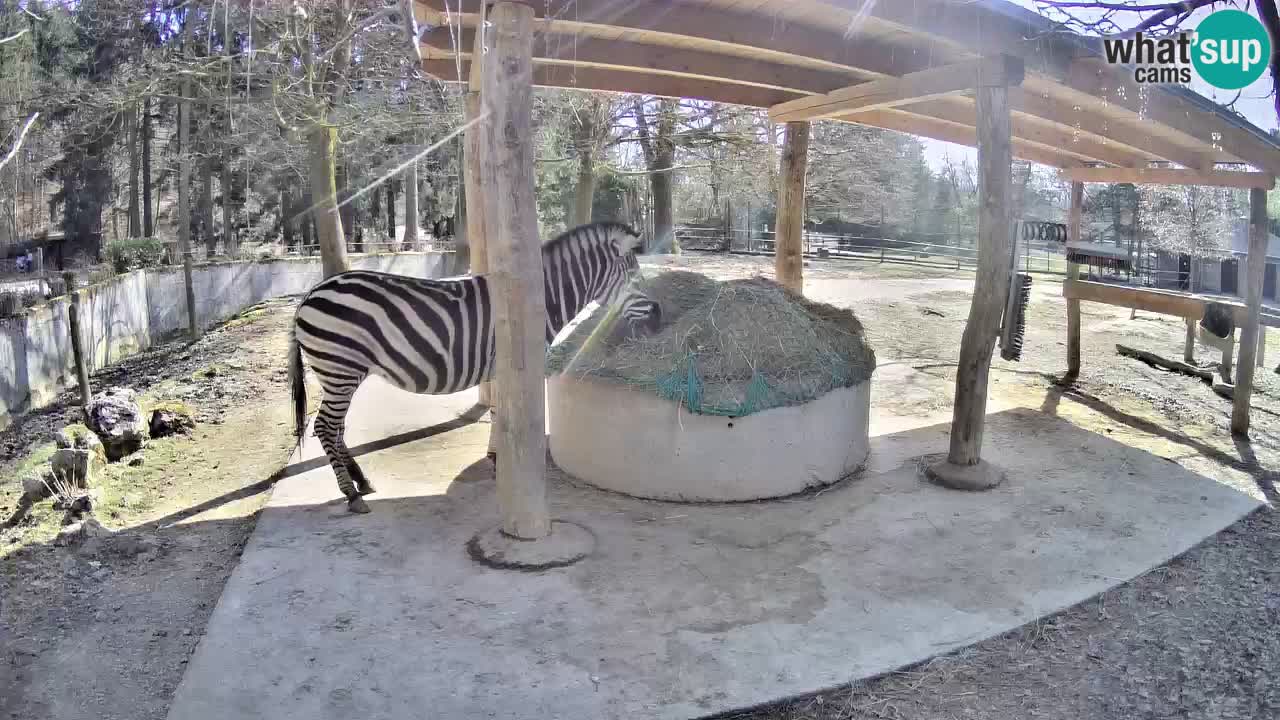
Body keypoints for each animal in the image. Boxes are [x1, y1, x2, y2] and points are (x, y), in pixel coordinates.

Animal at [288, 221, 660, 512]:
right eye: (635, 277)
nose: (660, 318)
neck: (538, 302)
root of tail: (310, 294)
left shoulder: (499, 368)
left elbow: (498, 412)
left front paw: (497, 459)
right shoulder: (513, 365)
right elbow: (506, 414)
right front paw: (503, 463)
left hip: (342, 373)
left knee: (336, 428)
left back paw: (361, 482)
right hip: (340, 368)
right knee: (325, 427)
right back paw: (351, 494)